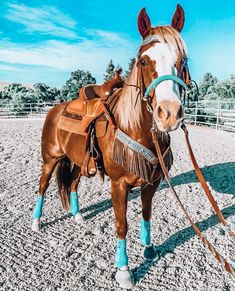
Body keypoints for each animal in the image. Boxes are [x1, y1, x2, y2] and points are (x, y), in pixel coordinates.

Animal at [31, 5, 189, 290]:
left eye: (182, 59)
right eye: (143, 61)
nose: (169, 114)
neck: (134, 128)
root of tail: (55, 109)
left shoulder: (152, 182)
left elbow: (147, 215)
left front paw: (149, 249)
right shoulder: (119, 184)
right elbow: (121, 225)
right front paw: (124, 270)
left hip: (78, 162)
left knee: (72, 184)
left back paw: (77, 215)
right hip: (50, 158)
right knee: (43, 186)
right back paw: (36, 221)